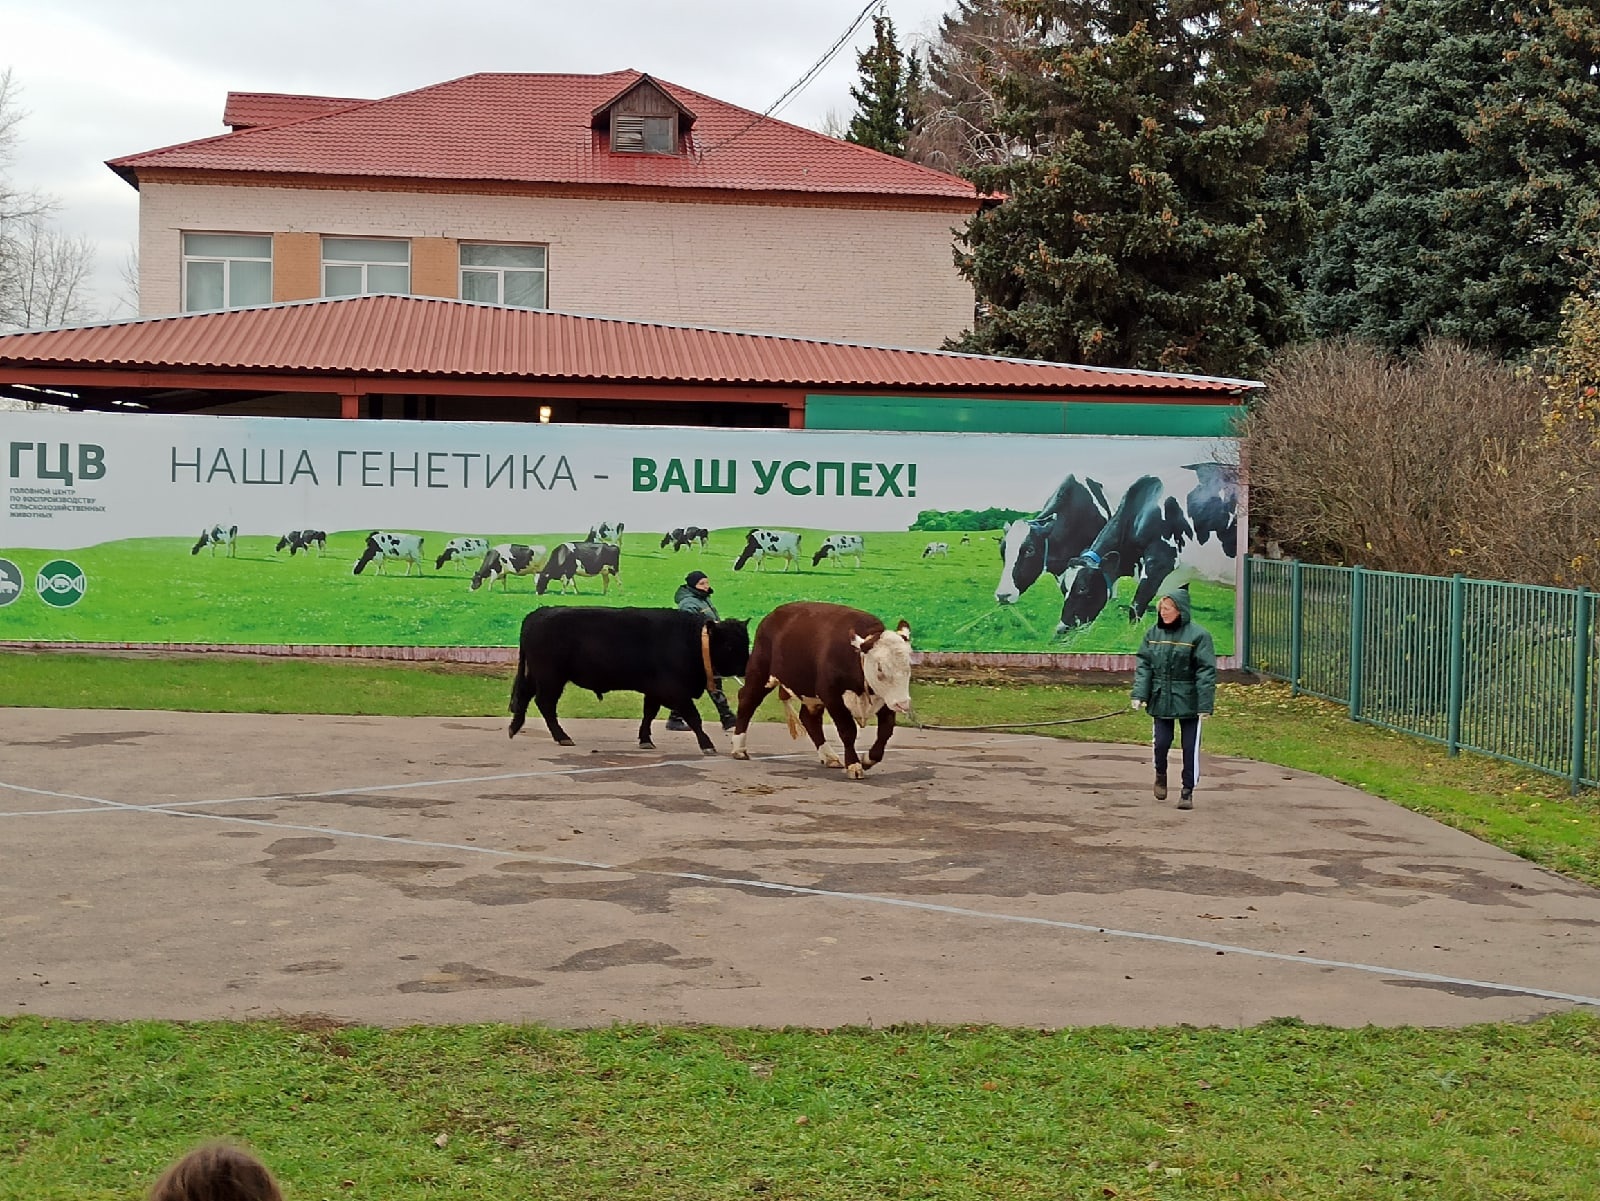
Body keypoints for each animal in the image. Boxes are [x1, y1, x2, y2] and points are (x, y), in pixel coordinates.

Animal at [505, 610, 748, 751]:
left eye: (746, 641)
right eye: (729, 645)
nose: (746, 667)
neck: (692, 641)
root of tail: (539, 613)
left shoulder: (655, 690)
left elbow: (649, 713)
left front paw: (645, 740)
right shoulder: (675, 691)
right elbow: (694, 717)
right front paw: (707, 745)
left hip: (536, 675)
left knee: (525, 695)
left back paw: (514, 728)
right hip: (551, 678)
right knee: (545, 703)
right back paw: (562, 737)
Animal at [729, 601, 908, 780]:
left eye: (908, 664)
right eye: (880, 667)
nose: (904, 703)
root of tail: (775, 613)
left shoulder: (886, 699)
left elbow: (885, 731)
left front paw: (867, 760)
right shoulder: (832, 696)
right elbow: (848, 731)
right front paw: (854, 765)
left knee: (809, 719)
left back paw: (829, 757)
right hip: (760, 672)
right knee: (747, 701)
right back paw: (739, 749)